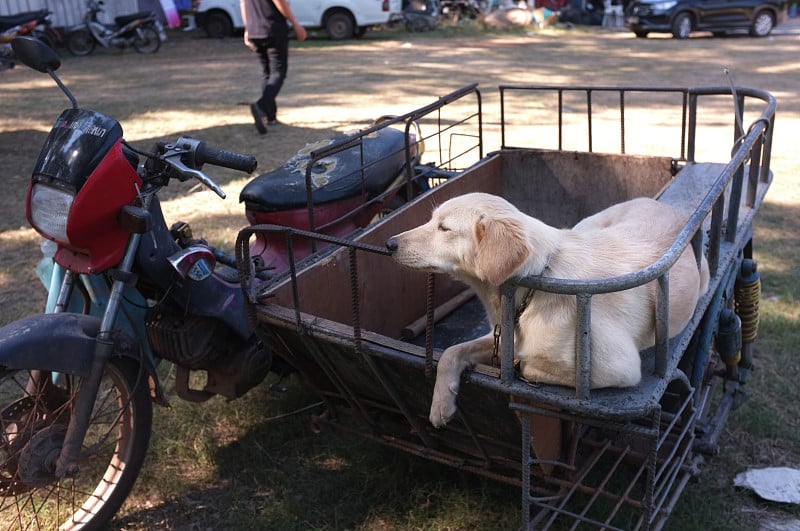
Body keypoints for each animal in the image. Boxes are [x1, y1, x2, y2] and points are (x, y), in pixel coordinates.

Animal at [384, 192, 708, 428]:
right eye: (431, 221)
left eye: (444, 228)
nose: (389, 243)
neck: (536, 285)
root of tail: (661, 204)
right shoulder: (504, 335)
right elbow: (451, 353)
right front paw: (441, 404)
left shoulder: (619, 368)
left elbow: (526, 366)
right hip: (585, 226)